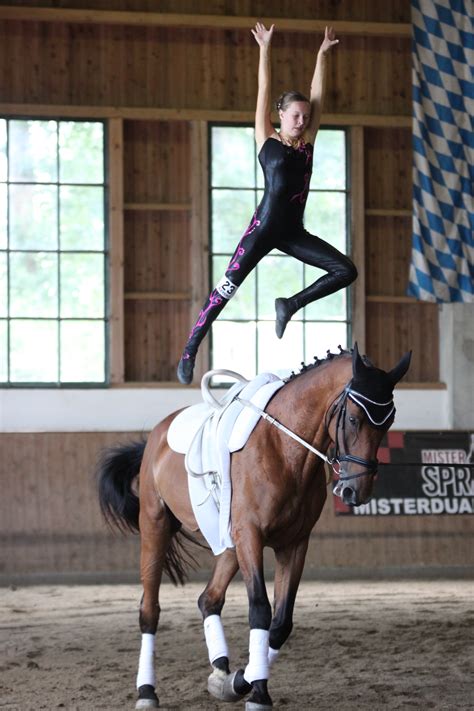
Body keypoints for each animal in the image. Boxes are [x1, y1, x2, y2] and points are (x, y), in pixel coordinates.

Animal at [97, 342, 412, 708]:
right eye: (352, 419)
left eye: (389, 422)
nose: (354, 491)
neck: (285, 449)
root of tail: (158, 434)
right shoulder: (251, 536)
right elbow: (260, 609)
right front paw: (258, 692)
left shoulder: (294, 543)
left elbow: (281, 622)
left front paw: (243, 682)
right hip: (156, 526)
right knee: (150, 611)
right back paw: (147, 690)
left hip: (229, 543)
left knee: (209, 599)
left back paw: (221, 671)